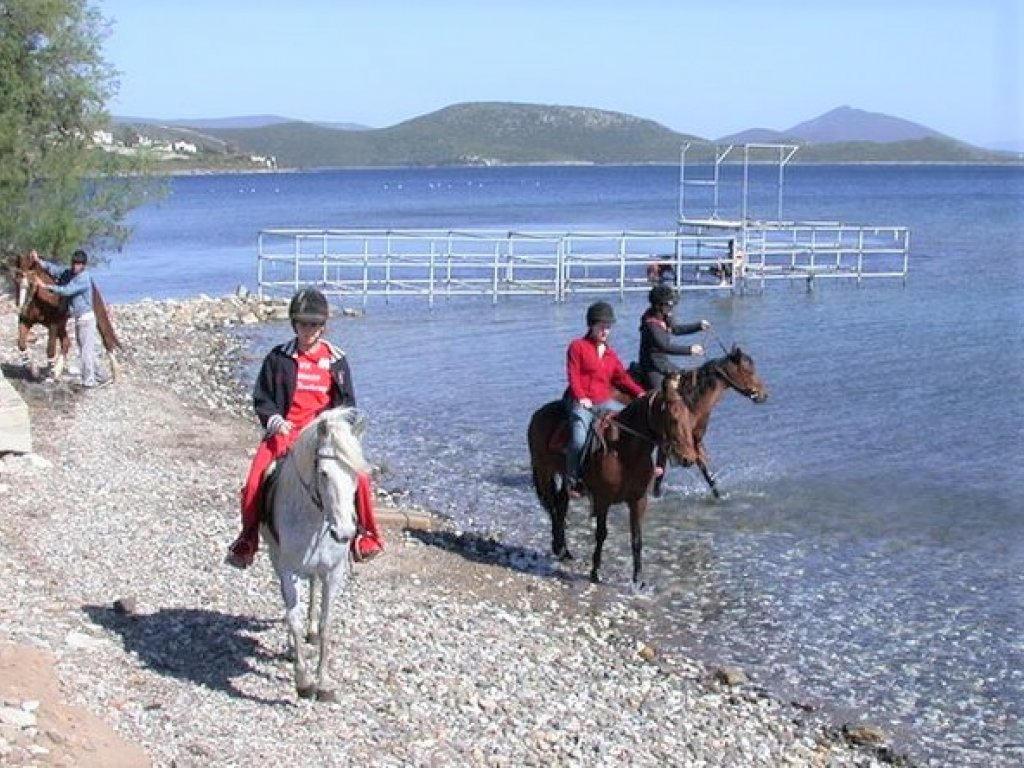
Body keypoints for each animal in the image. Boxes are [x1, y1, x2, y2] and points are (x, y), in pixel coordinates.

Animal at [262, 409, 370, 704]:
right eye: (324, 472)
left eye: (355, 474)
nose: (344, 532)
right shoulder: (288, 569)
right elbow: (293, 617)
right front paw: (303, 681)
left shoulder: (334, 572)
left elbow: (325, 623)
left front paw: (323, 682)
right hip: (277, 559)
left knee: (312, 588)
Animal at [528, 372, 696, 589]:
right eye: (673, 419)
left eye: (689, 418)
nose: (688, 459)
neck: (624, 451)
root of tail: (538, 414)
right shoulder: (603, 500)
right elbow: (601, 534)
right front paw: (595, 572)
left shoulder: (638, 501)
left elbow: (636, 539)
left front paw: (638, 578)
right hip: (544, 471)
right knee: (552, 508)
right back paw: (559, 548)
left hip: (564, 477)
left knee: (561, 504)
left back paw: (564, 550)